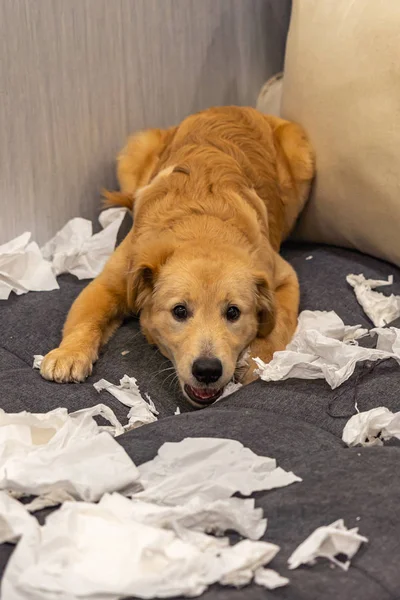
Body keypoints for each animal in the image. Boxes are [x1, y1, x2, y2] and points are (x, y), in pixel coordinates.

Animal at [41, 108, 316, 408]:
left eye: (233, 312)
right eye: (180, 311)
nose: (207, 371)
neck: (203, 227)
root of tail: (232, 108)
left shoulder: (283, 276)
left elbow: (279, 324)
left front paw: (258, 361)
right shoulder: (111, 281)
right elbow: (86, 317)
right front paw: (69, 353)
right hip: (134, 153)